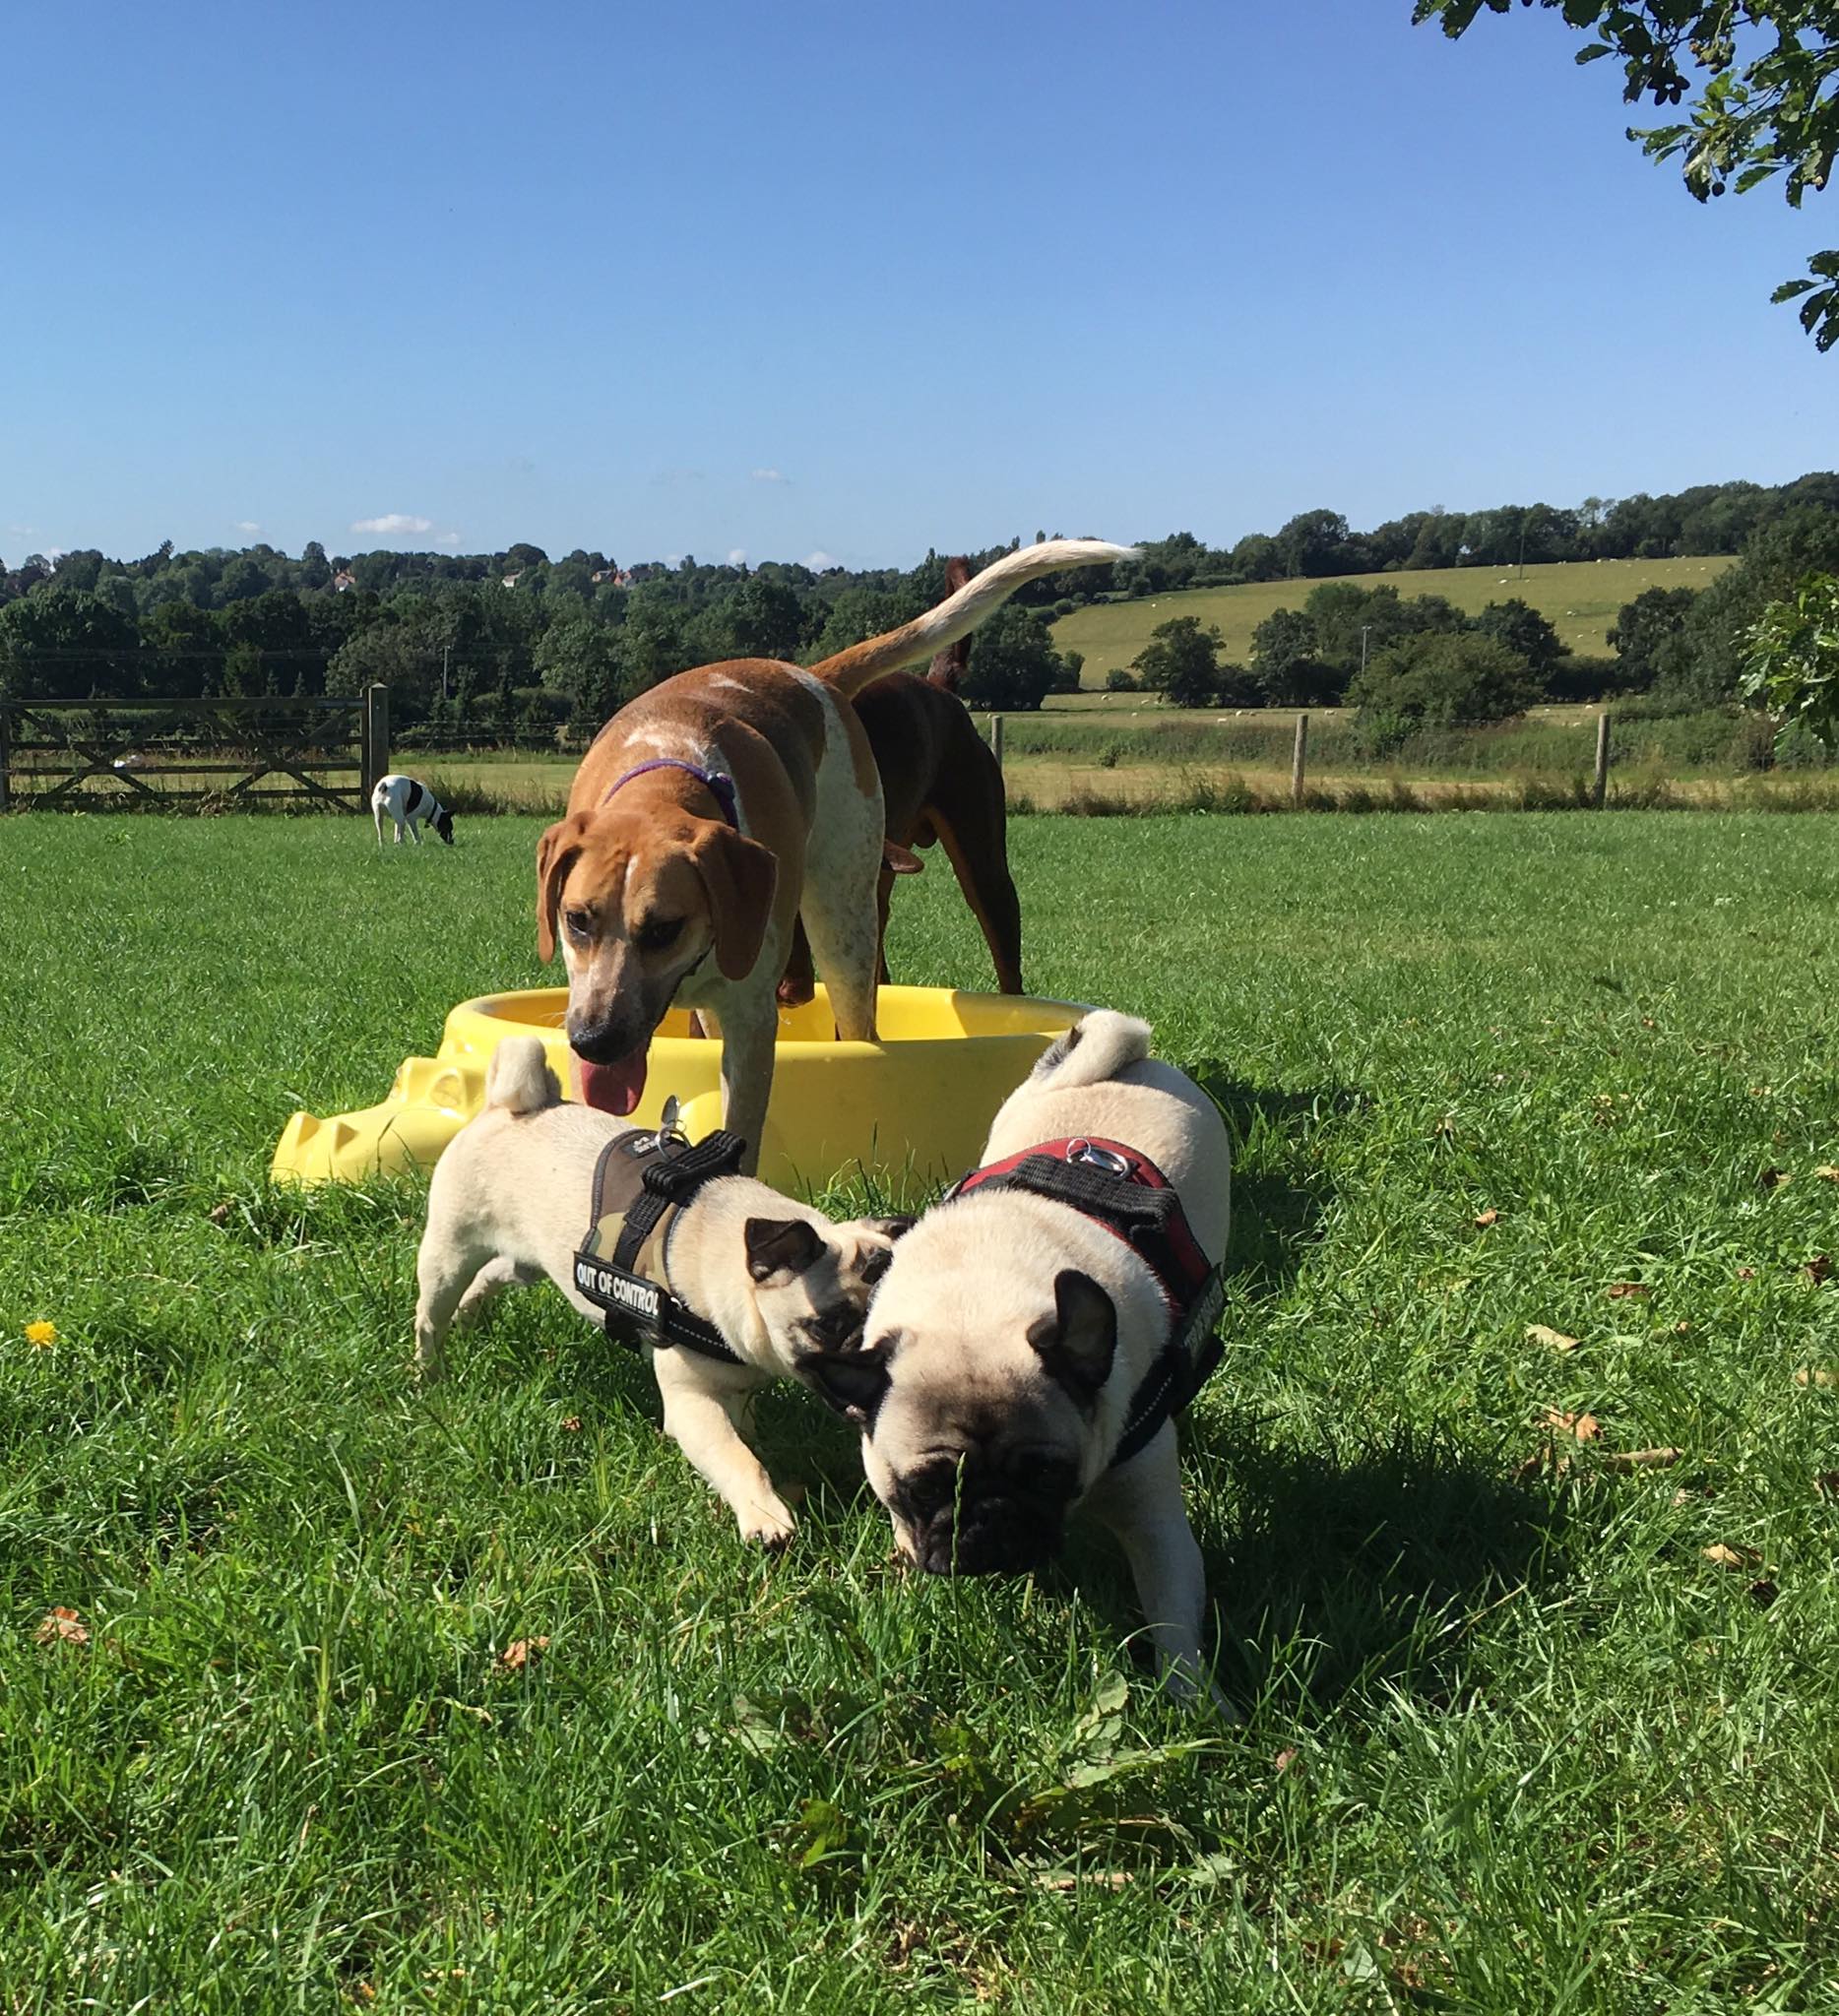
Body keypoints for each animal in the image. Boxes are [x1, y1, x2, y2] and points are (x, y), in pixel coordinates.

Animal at [413, 1038, 906, 1544]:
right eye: (828, 1325)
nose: (870, 1356)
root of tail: (509, 1107)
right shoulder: (692, 1404)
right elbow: (738, 1459)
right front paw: (766, 1517)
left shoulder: (733, 1383)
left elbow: (743, 1426)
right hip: (449, 1253)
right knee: (430, 1315)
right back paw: (429, 1372)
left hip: (528, 1262)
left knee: (493, 1273)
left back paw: (470, 1315)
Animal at [534, 540, 1129, 1168]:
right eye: (576, 920)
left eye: (664, 930)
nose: (595, 1041)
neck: (664, 778)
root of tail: (809, 675)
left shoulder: (750, 1019)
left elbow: (741, 1129)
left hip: (858, 919)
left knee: (867, 1020)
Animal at [800, 1011, 1230, 1696]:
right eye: (926, 1490)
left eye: (1047, 1474)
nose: (991, 1516)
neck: (974, 1300)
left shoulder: (1154, 1520)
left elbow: (1173, 1619)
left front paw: (1194, 1702)